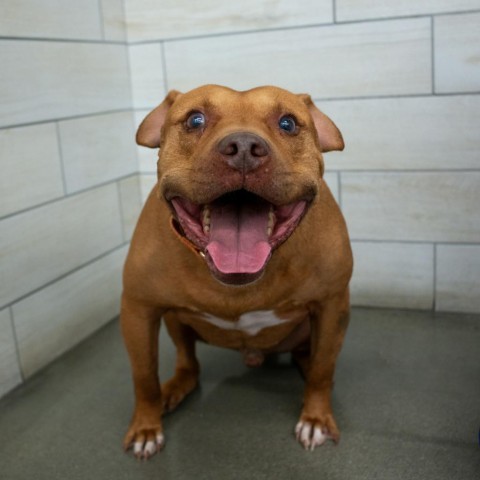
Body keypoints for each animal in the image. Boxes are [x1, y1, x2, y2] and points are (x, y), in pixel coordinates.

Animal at [120, 85, 352, 458]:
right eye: (195, 119)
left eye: (288, 123)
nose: (244, 147)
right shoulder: (138, 310)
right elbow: (144, 376)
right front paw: (146, 427)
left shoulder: (333, 306)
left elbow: (323, 369)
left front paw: (315, 418)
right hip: (174, 320)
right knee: (188, 363)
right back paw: (175, 387)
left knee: (312, 357)